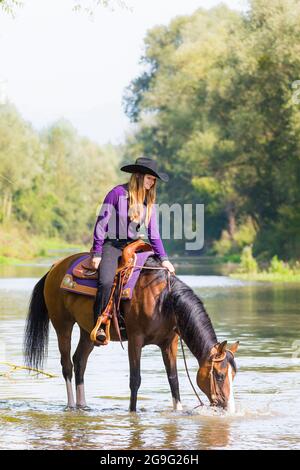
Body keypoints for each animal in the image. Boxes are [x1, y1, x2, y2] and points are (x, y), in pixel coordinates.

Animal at [23, 253, 239, 412]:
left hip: (88, 331)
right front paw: (132, 413)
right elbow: (135, 379)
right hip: (63, 325)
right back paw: (70, 406)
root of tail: (55, 267)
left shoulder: (169, 343)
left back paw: (82, 405)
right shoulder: (136, 340)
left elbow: (173, 380)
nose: (229, 408)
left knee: (79, 361)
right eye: (220, 375)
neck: (163, 300)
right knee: (67, 364)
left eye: (233, 375)